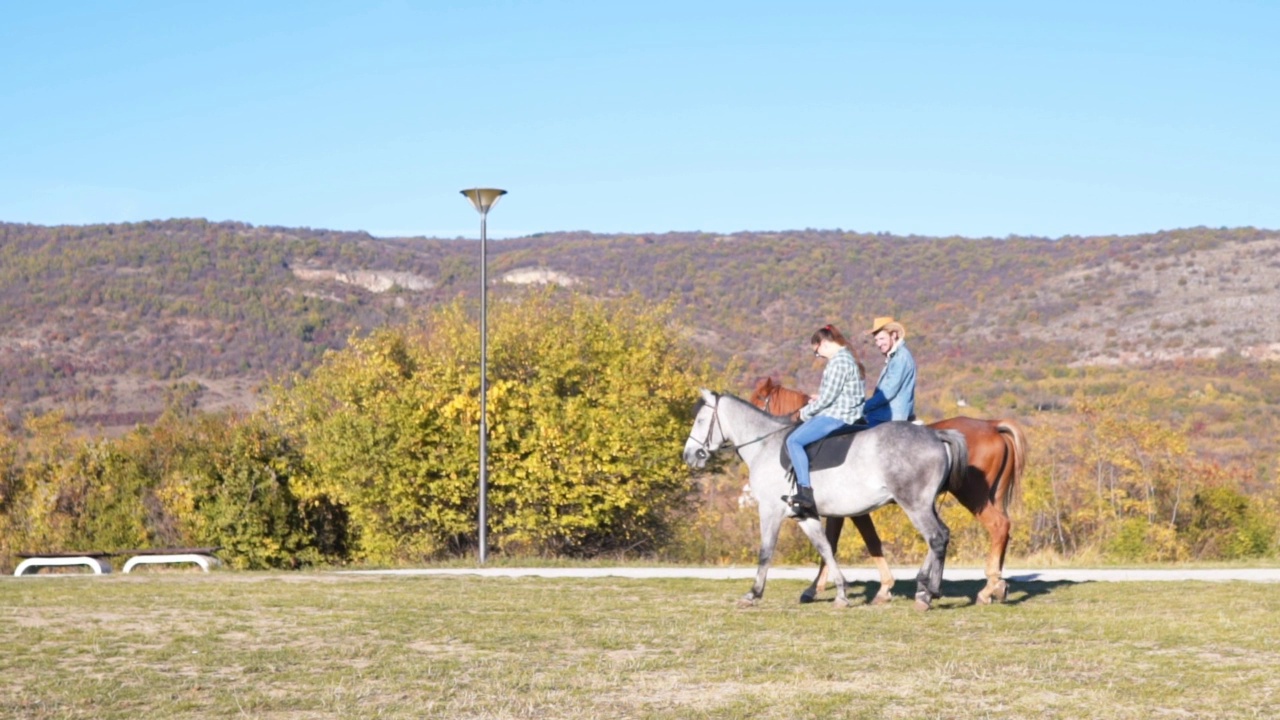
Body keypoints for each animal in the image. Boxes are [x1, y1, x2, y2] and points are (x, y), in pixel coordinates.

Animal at [686, 389, 962, 607]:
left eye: (700, 420)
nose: (688, 455)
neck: (766, 445)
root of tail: (935, 435)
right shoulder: (805, 515)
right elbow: (826, 549)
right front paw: (840, 593)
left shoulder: (770, 510)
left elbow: (766, 551)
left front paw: (753, 593)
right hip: (925, 505)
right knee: (942, 536)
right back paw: (927, 588)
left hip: (914, 505)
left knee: (935, 538)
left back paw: (927, 593)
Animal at [747, 379, 1024, 602]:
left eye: (759, 398)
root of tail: (992, 425)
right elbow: (843, 543)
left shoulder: (848, 510)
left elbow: (851, 543)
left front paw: (817, 589)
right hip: (982, 497)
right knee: (995, 529)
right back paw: (994, 586)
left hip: (968, 496)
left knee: (994, 527)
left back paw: (983, 589)